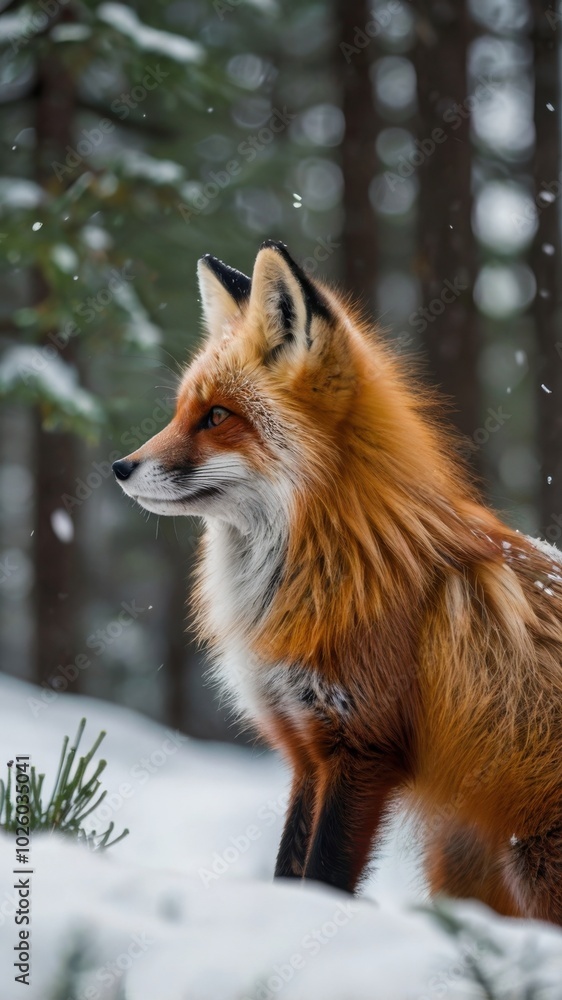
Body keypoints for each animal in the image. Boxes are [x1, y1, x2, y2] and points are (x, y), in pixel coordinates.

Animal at [113, 240, 562, 922]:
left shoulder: (363, 747)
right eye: (182, 411)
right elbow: (288, 869)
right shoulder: (305, 747)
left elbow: (322, 874)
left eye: (216, 416)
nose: (119, 467)